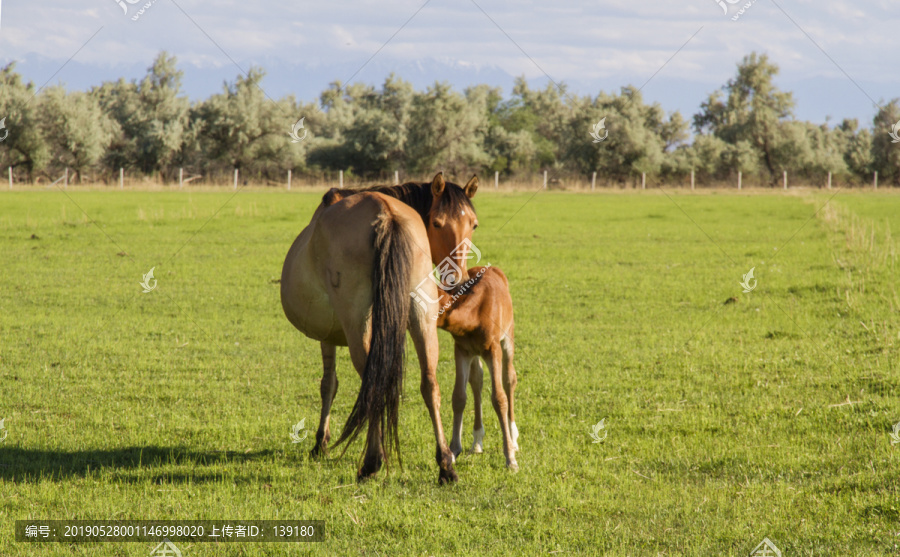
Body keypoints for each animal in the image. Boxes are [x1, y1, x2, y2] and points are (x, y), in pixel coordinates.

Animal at [282, 173, 478, 482]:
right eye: (437, 223)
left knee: (373, 383)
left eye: (473, 225)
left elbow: (328, 384)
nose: (457, 279)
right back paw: (446, 464)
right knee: (429, 383)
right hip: (422, 317)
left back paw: (372, 461)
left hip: (358, 326)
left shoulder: (328, 335)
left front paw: (320, 443)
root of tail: (386, 214)